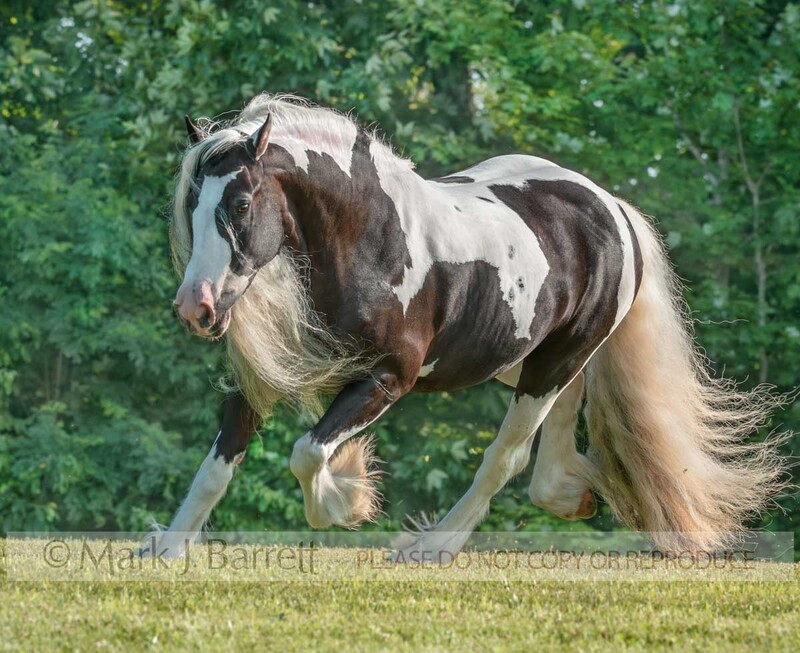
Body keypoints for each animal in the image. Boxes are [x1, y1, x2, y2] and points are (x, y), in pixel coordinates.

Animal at [142, 93, 785, 559]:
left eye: (241, 205)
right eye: (191, 205)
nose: (196, 307)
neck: (368, 242)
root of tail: (611, 208)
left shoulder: (388, 380)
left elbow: (306, 453)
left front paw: (348, 500)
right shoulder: (260, 382)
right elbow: (216, 465)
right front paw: (167, 548)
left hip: (554, 362)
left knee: (507, 455)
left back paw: (434, 546)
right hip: (520, 360)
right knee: (560, 419)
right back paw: (571, 494)